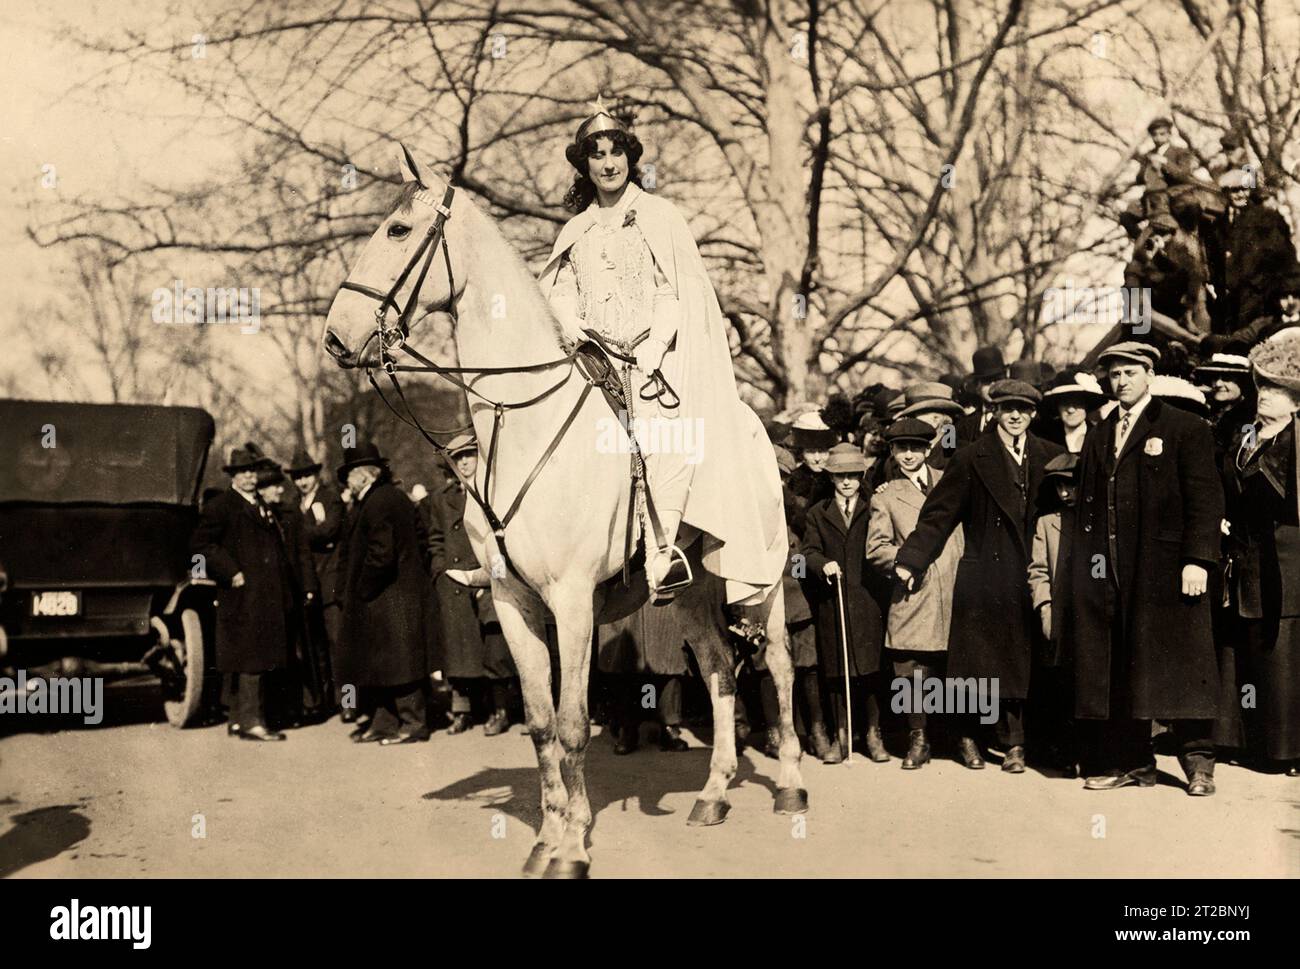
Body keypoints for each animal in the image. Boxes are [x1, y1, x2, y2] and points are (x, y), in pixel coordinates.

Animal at [321, 149, 806, 879]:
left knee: (776, 662)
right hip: (692, 586)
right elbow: (542, 722)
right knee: (721, 666)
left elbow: (576, 723)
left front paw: (574, 849)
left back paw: (791, 784)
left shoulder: (573, 600)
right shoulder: (514, 600)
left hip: (760, 575)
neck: (524, 421)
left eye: (398, 230)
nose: (335, 337)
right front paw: (548, 838)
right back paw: (714, 793)